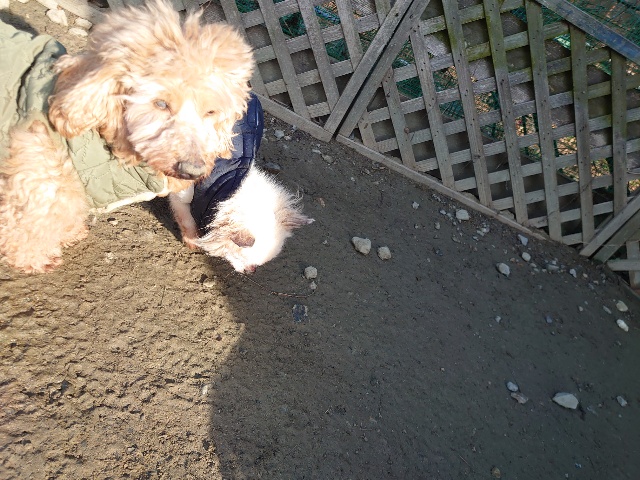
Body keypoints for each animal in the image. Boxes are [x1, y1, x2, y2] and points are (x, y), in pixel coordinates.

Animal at [0, 0, 254, 273]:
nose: (192, 170)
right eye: (161, 104)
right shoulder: (37, 178)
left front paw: (70, 234)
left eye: (210, 112)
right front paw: (34, 259)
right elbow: (32, 219)